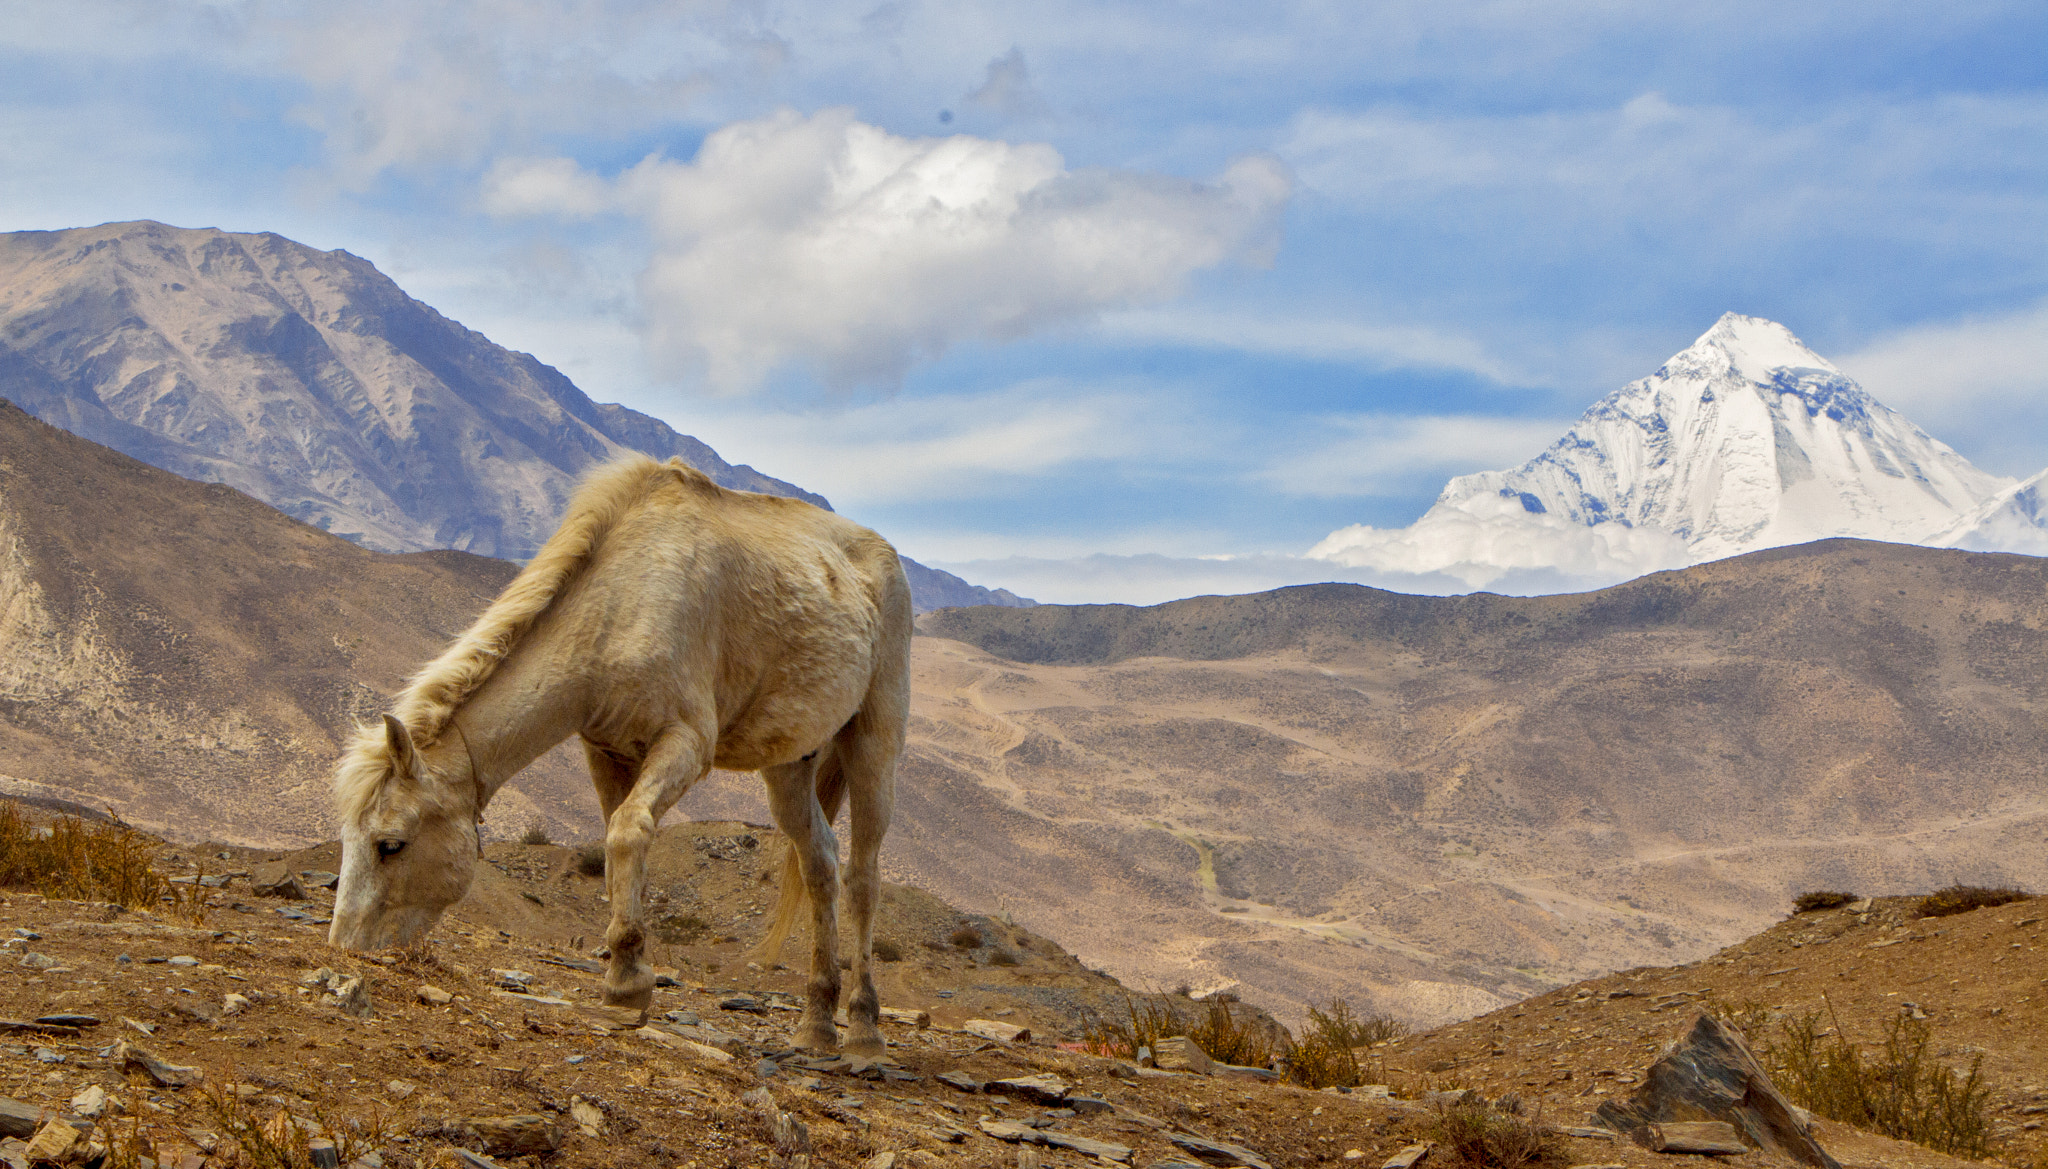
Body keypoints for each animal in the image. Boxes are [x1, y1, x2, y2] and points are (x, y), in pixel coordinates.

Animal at [331, 454, 909, 1048]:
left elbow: (629, 832)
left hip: (875, 742)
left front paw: (627, 985)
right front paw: (626, 970)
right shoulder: (607, 753)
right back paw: (816, 1023)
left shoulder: (685, 743)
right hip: (790, 766)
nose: (349, 948)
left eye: (390, 844)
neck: (621, 604)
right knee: (819, 865)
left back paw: (863, 1027)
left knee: (862, 876)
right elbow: (619, 842)